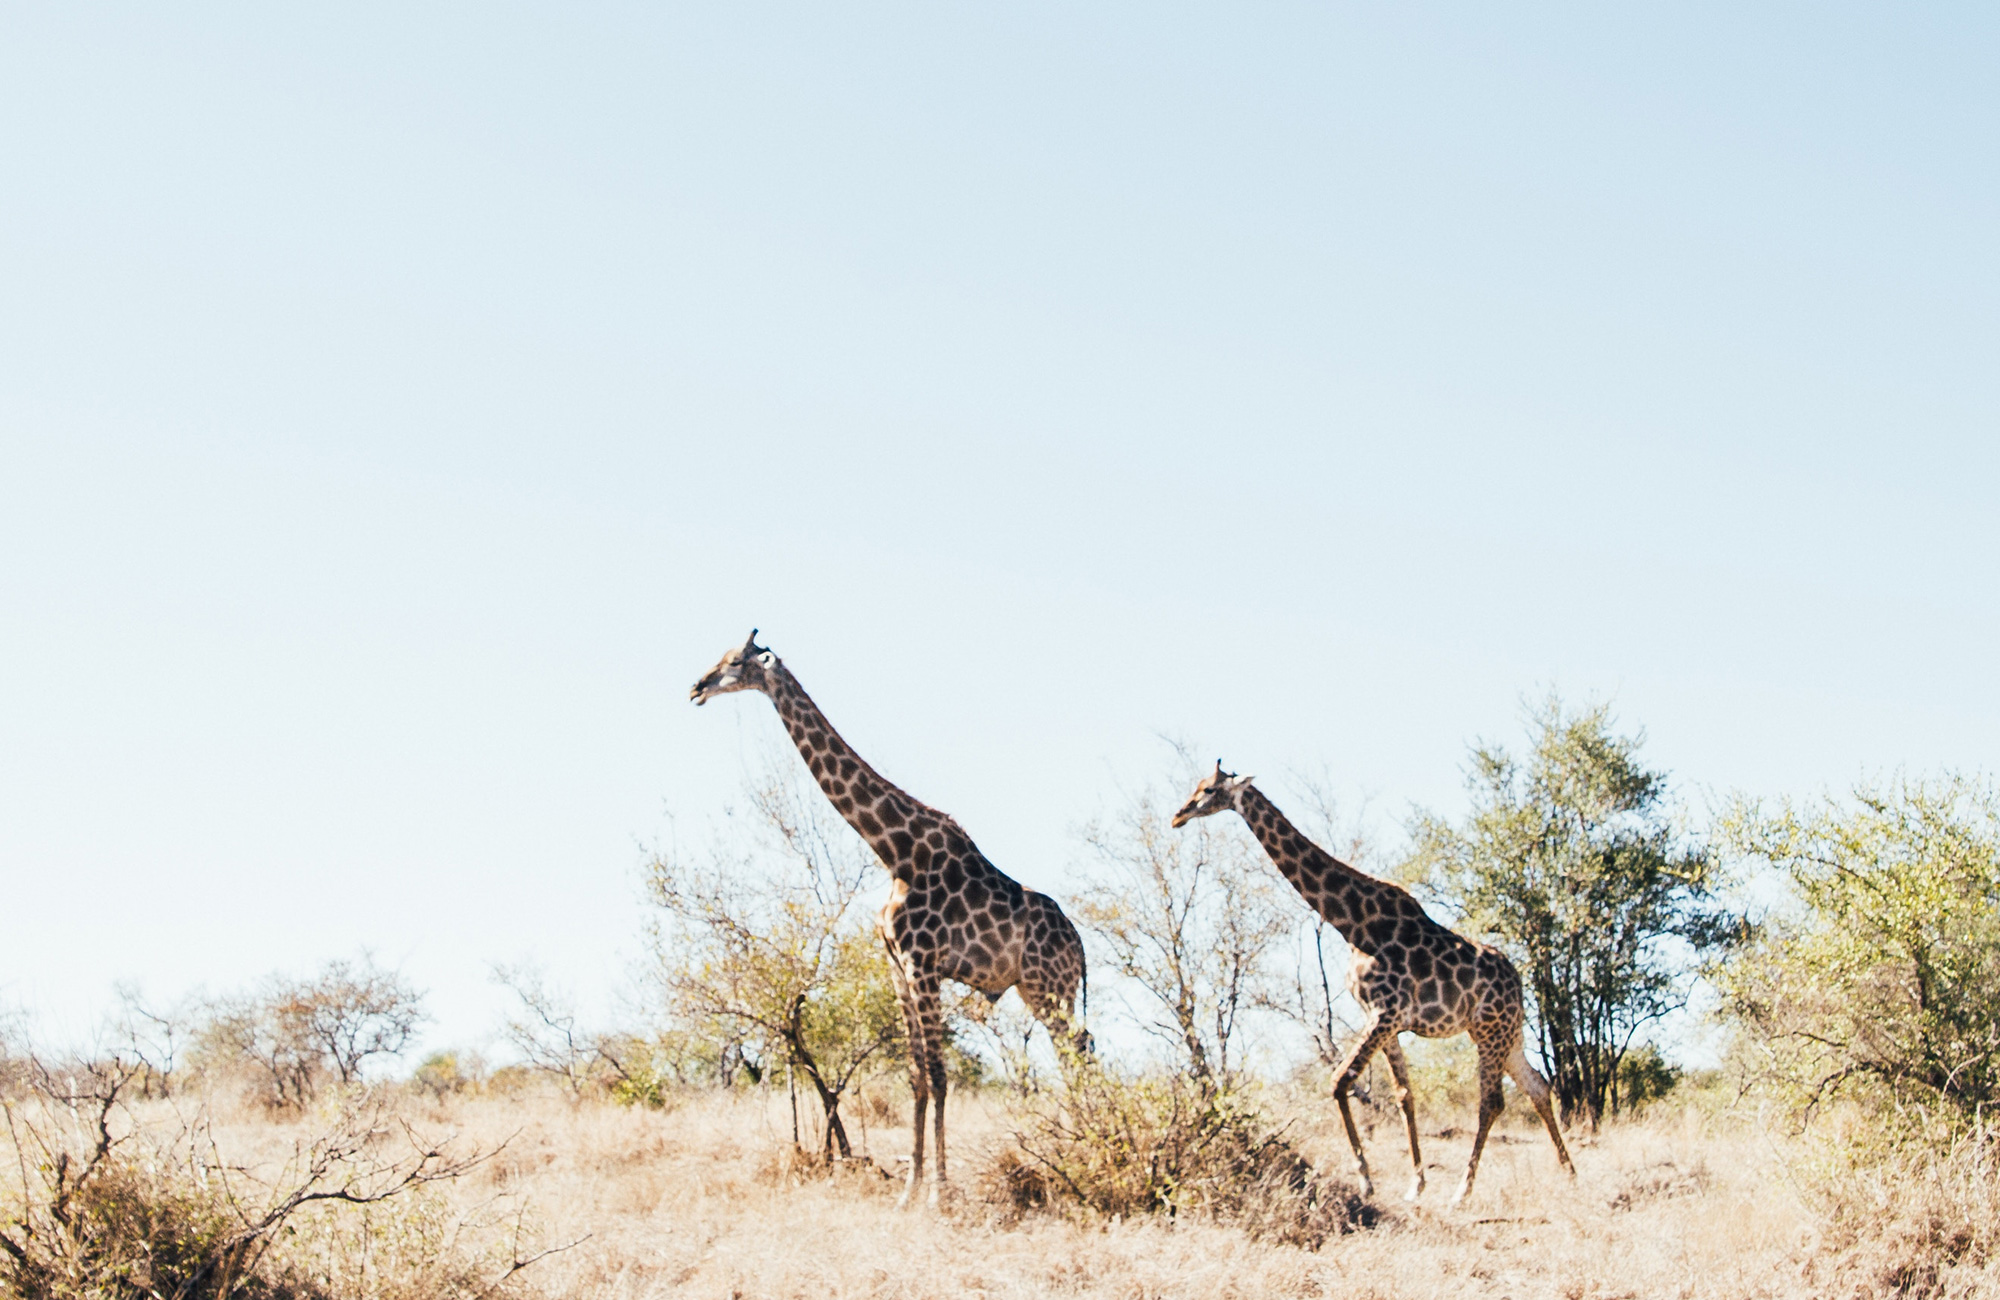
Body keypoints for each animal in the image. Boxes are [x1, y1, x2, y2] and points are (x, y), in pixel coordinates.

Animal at [691, 631, 1089, 1208]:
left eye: (735, 662)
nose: (696, 687)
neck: (894, 851)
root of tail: (1081, 947)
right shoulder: (898, 966)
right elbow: (916, 1077)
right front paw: (909, 1189)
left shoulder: (924, 963)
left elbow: (941, 1076)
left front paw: (938, 1194)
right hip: (1040, 990)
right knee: (1079, 1052)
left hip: (1048, 987)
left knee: (1078, 1053)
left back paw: (1089, 1146)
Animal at [1172, 762, 1573, 1205]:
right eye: (1195, 786)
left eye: (1208, 790)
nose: (1178, 815)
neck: (1354, 925)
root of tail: (1517, 983)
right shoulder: (1386, 1021)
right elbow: (1403, 1096)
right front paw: (1415, 1184)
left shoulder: (1385, 1013)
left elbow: (1339, 1081)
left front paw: (1367, 1181)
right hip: (1506, 1034)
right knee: (1538, 1087)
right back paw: (1569, 1172)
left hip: (1489, 1032)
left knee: (1492, 1101)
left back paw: (1463, 1191)